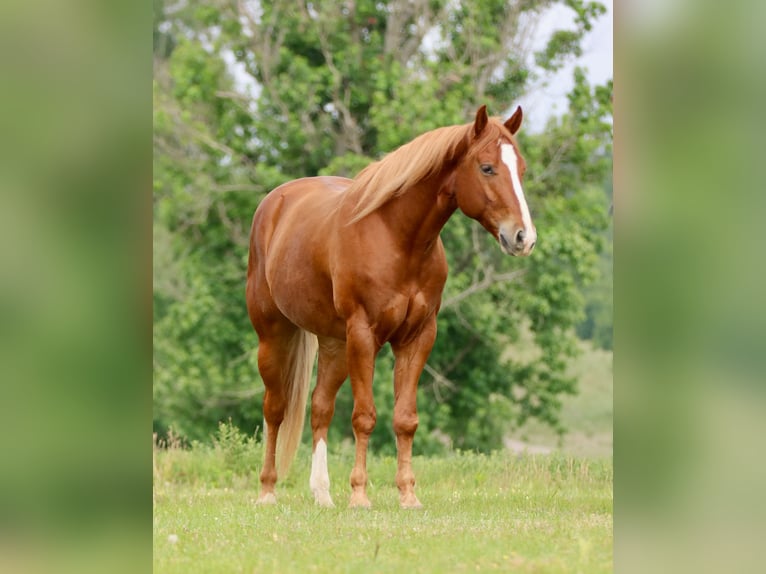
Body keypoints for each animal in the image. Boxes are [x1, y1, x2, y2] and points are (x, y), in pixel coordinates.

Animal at [246, 104, 536, 509]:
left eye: (521, 169)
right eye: (487, 168)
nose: (524, 237)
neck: (398, 237)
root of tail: (275, 202)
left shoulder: (417, 337)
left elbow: (405, 419)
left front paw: (408, 494)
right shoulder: (364, 335)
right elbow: (364, 417)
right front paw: (359, 495)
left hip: (335, 344)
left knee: (320, 408)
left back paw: (322, 493)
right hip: (274, 335)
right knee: (275, 408)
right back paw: (268, 490)